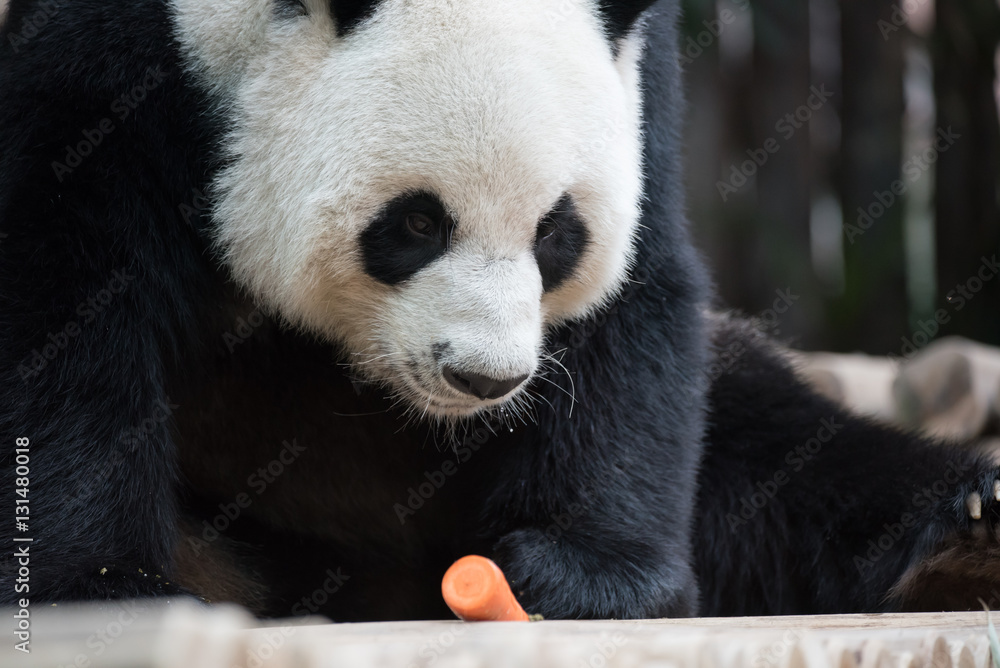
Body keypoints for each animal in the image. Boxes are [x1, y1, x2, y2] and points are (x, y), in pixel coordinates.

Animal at [1, 0, 998, 621]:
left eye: (557, 234)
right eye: (415, 222)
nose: (483, 379)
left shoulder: (642, 84)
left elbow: (637, 304)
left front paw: (578, 578)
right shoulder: (117, 72)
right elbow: (65, 298)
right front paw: (102, 588)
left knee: (773, 444)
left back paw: (964, 536)